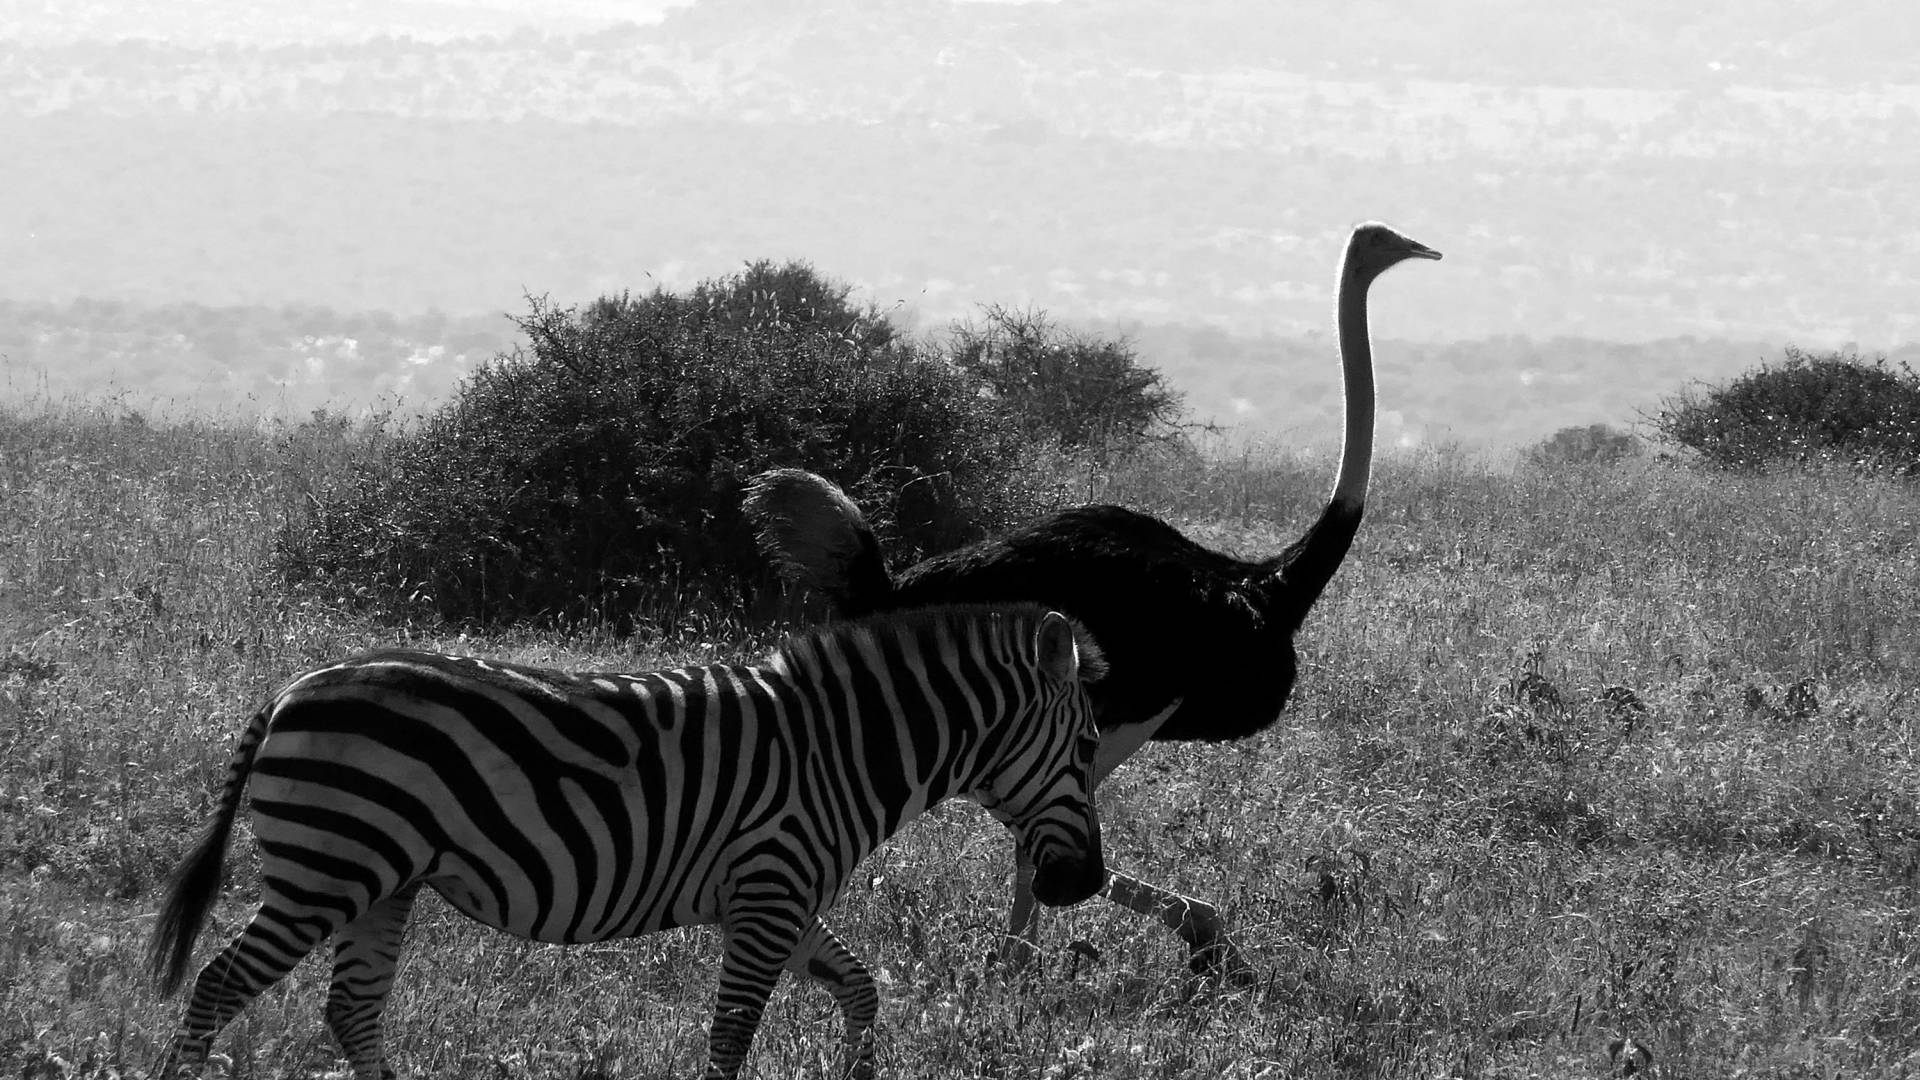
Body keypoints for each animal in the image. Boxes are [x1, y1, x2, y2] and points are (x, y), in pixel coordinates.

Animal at [148, 604, 1106, 1080]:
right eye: (1091, 747)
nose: (1088, 884)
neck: (844, 750)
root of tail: (291, 689)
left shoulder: (777, 898)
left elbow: (861, 989)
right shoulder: (769, 892)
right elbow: (731, 1037)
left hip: (383, 881)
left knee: (351, 1008)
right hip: (329, 866)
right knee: (220, 985)